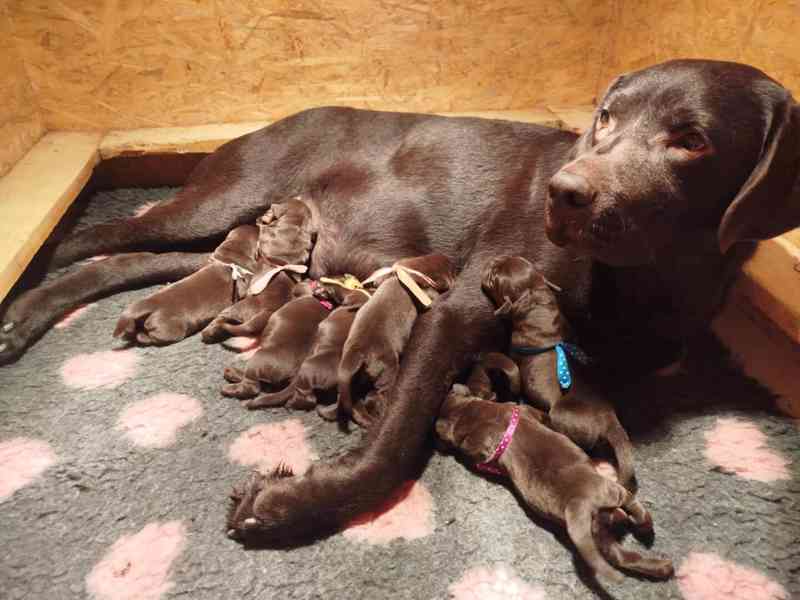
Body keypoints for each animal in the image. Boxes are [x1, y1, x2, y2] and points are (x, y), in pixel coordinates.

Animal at [200, 198, 312, 342]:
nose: (259, 216)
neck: (296, 224)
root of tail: (267, 312)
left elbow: (263, 230)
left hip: (237, 308)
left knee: (222, 318)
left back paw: (208, 332)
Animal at [330, 253, 456, 426]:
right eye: (451, 269)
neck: (411, 271)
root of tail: (358, 352)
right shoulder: (428, 293)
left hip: (352, 380)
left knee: (350, 400)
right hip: (387, 369)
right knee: (380, 393)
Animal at [434, 382, 672, 584]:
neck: (471, 414)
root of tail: (579, 503)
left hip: (599, 530)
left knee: (622, 554)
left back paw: (660, 566)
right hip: (613, 495)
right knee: (634, 509)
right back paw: (649, 534)